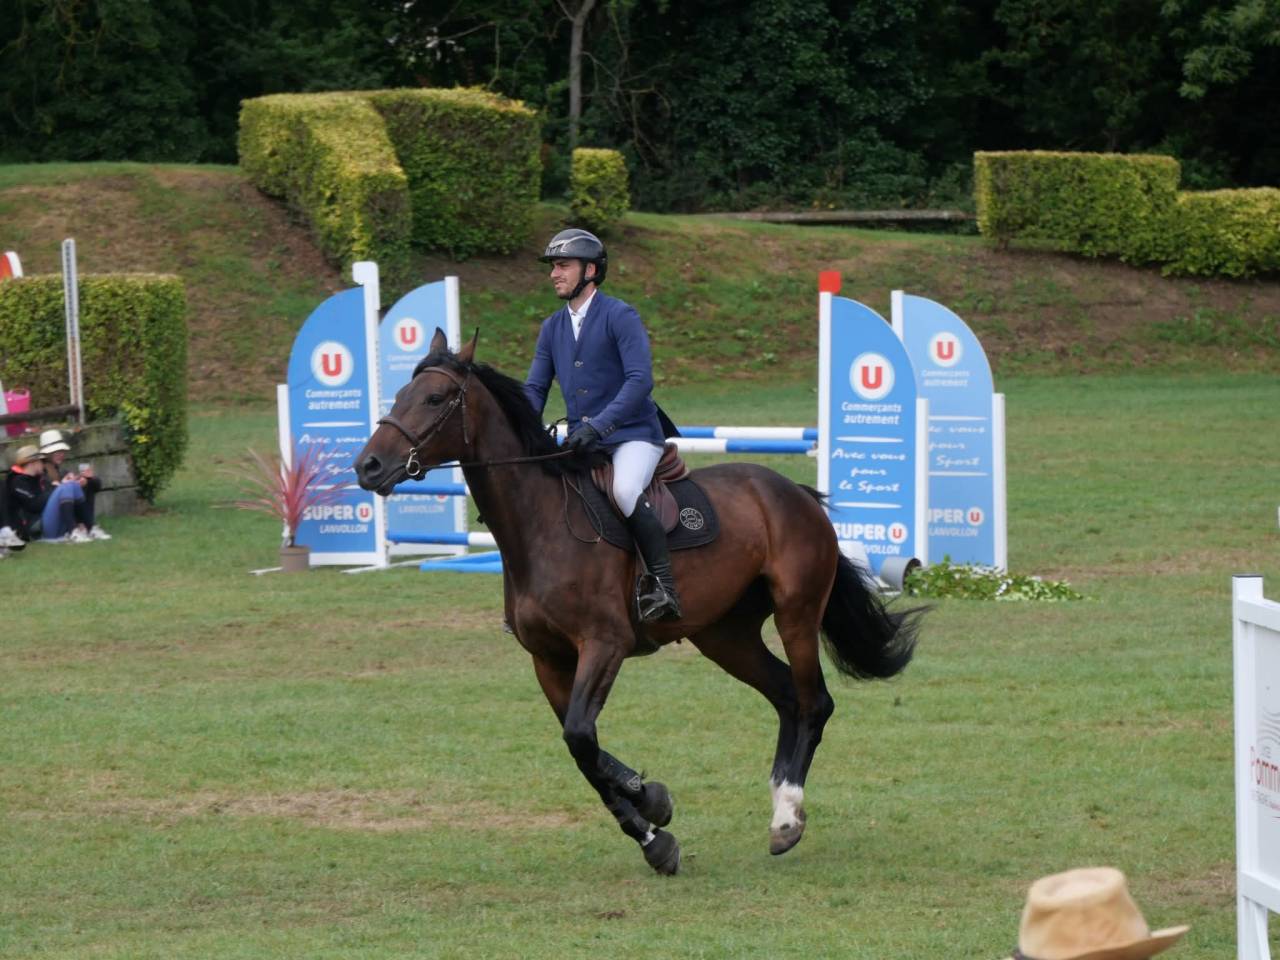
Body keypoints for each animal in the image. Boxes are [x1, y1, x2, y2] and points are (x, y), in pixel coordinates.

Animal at [354, 329, 923, 875]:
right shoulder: (548, 660)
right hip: (724, 635)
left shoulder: (604, 644)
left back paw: (787, 819)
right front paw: (654, 835)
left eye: (434, 398)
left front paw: (649, 800)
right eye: (399, 394)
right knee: (786, 695)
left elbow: (581, 738)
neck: (539, 523)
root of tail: (794, 491)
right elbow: (582, 750)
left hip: (796, 614)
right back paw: (778, 804)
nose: (368, 466)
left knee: (813, 702)